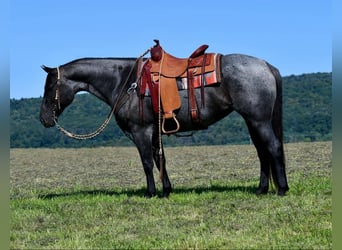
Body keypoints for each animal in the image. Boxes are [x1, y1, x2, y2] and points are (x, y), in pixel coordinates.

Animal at [39, 47, 288, 197]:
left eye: (50, 87)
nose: (44, 119)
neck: (125, 81)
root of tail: (266, 65)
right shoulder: (153, 131)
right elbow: (161, 160)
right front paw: (167, 190)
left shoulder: (141, 131)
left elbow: (147, 162)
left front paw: (150, 193)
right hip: (252, 121)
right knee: (262, 152)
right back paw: (261, 189)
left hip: (259, 120)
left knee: (273, 147)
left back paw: (282, 189)